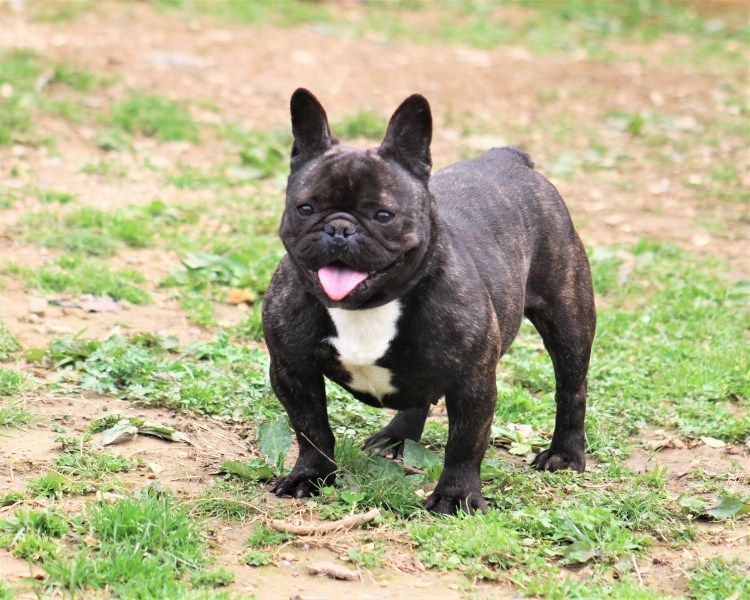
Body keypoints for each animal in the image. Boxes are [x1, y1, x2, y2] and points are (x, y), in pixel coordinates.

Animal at [262, 89, 596, 514]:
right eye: (304, 208)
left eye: (383, 215)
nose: (338, 228)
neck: (367, 308)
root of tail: (507, 157)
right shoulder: (292, 369)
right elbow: (311, 429)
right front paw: (311, 475)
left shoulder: (473, 383)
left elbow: (465, 444)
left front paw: (456, 495)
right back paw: (396, 436)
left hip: (568, 318)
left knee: (571, 386)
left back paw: (565, 454)